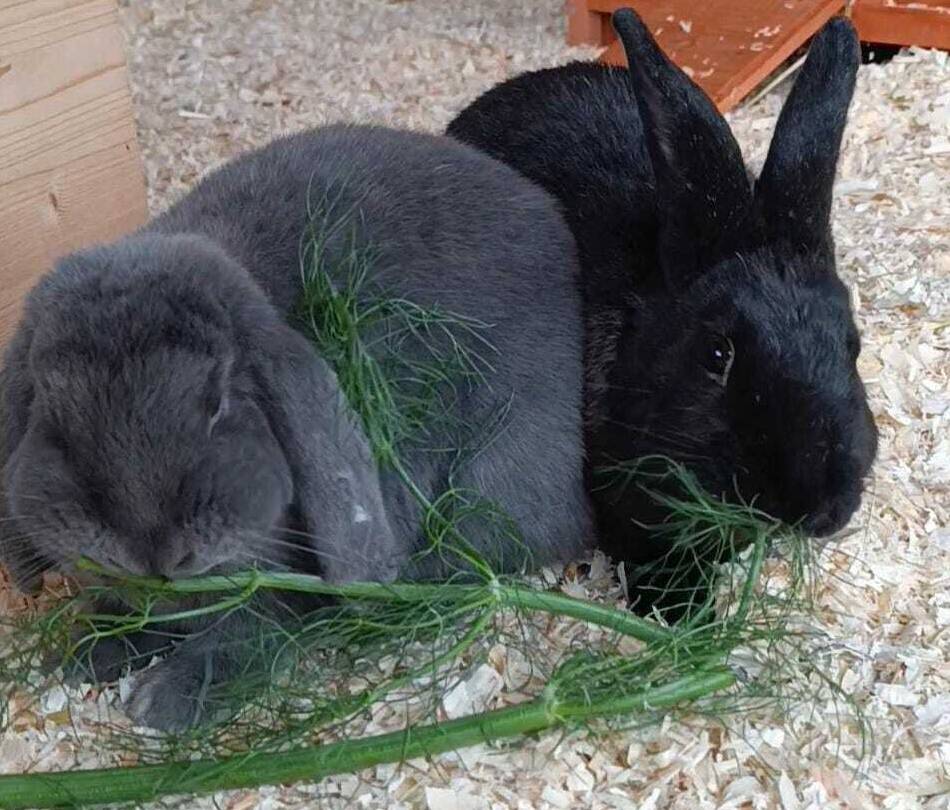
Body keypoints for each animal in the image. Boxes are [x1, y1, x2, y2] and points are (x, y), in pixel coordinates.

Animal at [0, 124, 593, 729]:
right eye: (53, 411)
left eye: (218, 403)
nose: (151, 553)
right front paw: (84, 653)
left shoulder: (280, 592)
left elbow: (251, 633)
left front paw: (165, 698)